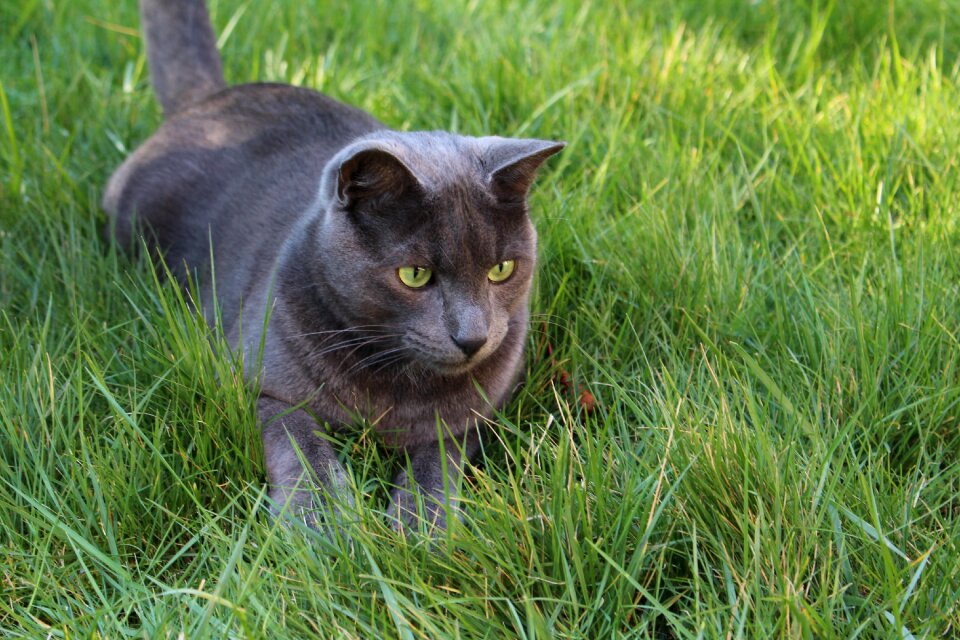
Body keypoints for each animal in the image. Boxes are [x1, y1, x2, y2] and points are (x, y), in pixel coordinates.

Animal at [107, 0, 564, 532]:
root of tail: (215, 97)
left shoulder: (473, 415)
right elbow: (303, 447)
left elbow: (439, 460)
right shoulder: (264, 385)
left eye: (501, 270)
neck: (398, 383)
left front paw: (421, 528)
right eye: (414, 275)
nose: (472, 338)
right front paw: (324, 526)